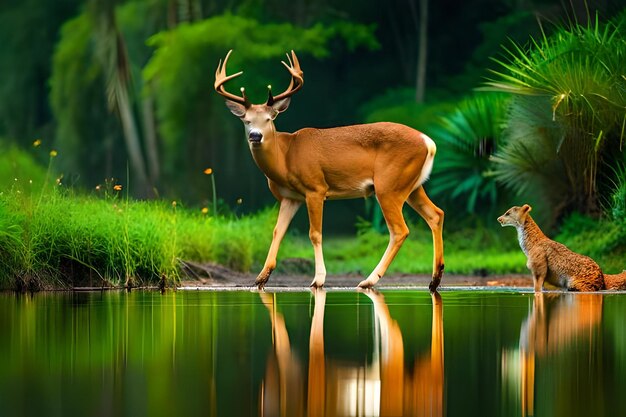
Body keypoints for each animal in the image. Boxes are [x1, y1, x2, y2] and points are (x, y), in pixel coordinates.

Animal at [214, 49, 444, 290]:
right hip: (411, 185)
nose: (255, 136)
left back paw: (369, 280)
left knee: (400, 230)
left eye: (269, 119)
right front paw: (261, 278)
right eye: (246, 120)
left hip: (389, 184)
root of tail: (429, 142)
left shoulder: (316, 188)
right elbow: (278, 231)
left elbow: (315, 234)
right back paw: (434, 279)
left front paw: (318, 279)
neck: (285, 158)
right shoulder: (290, 197)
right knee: (436, 214)